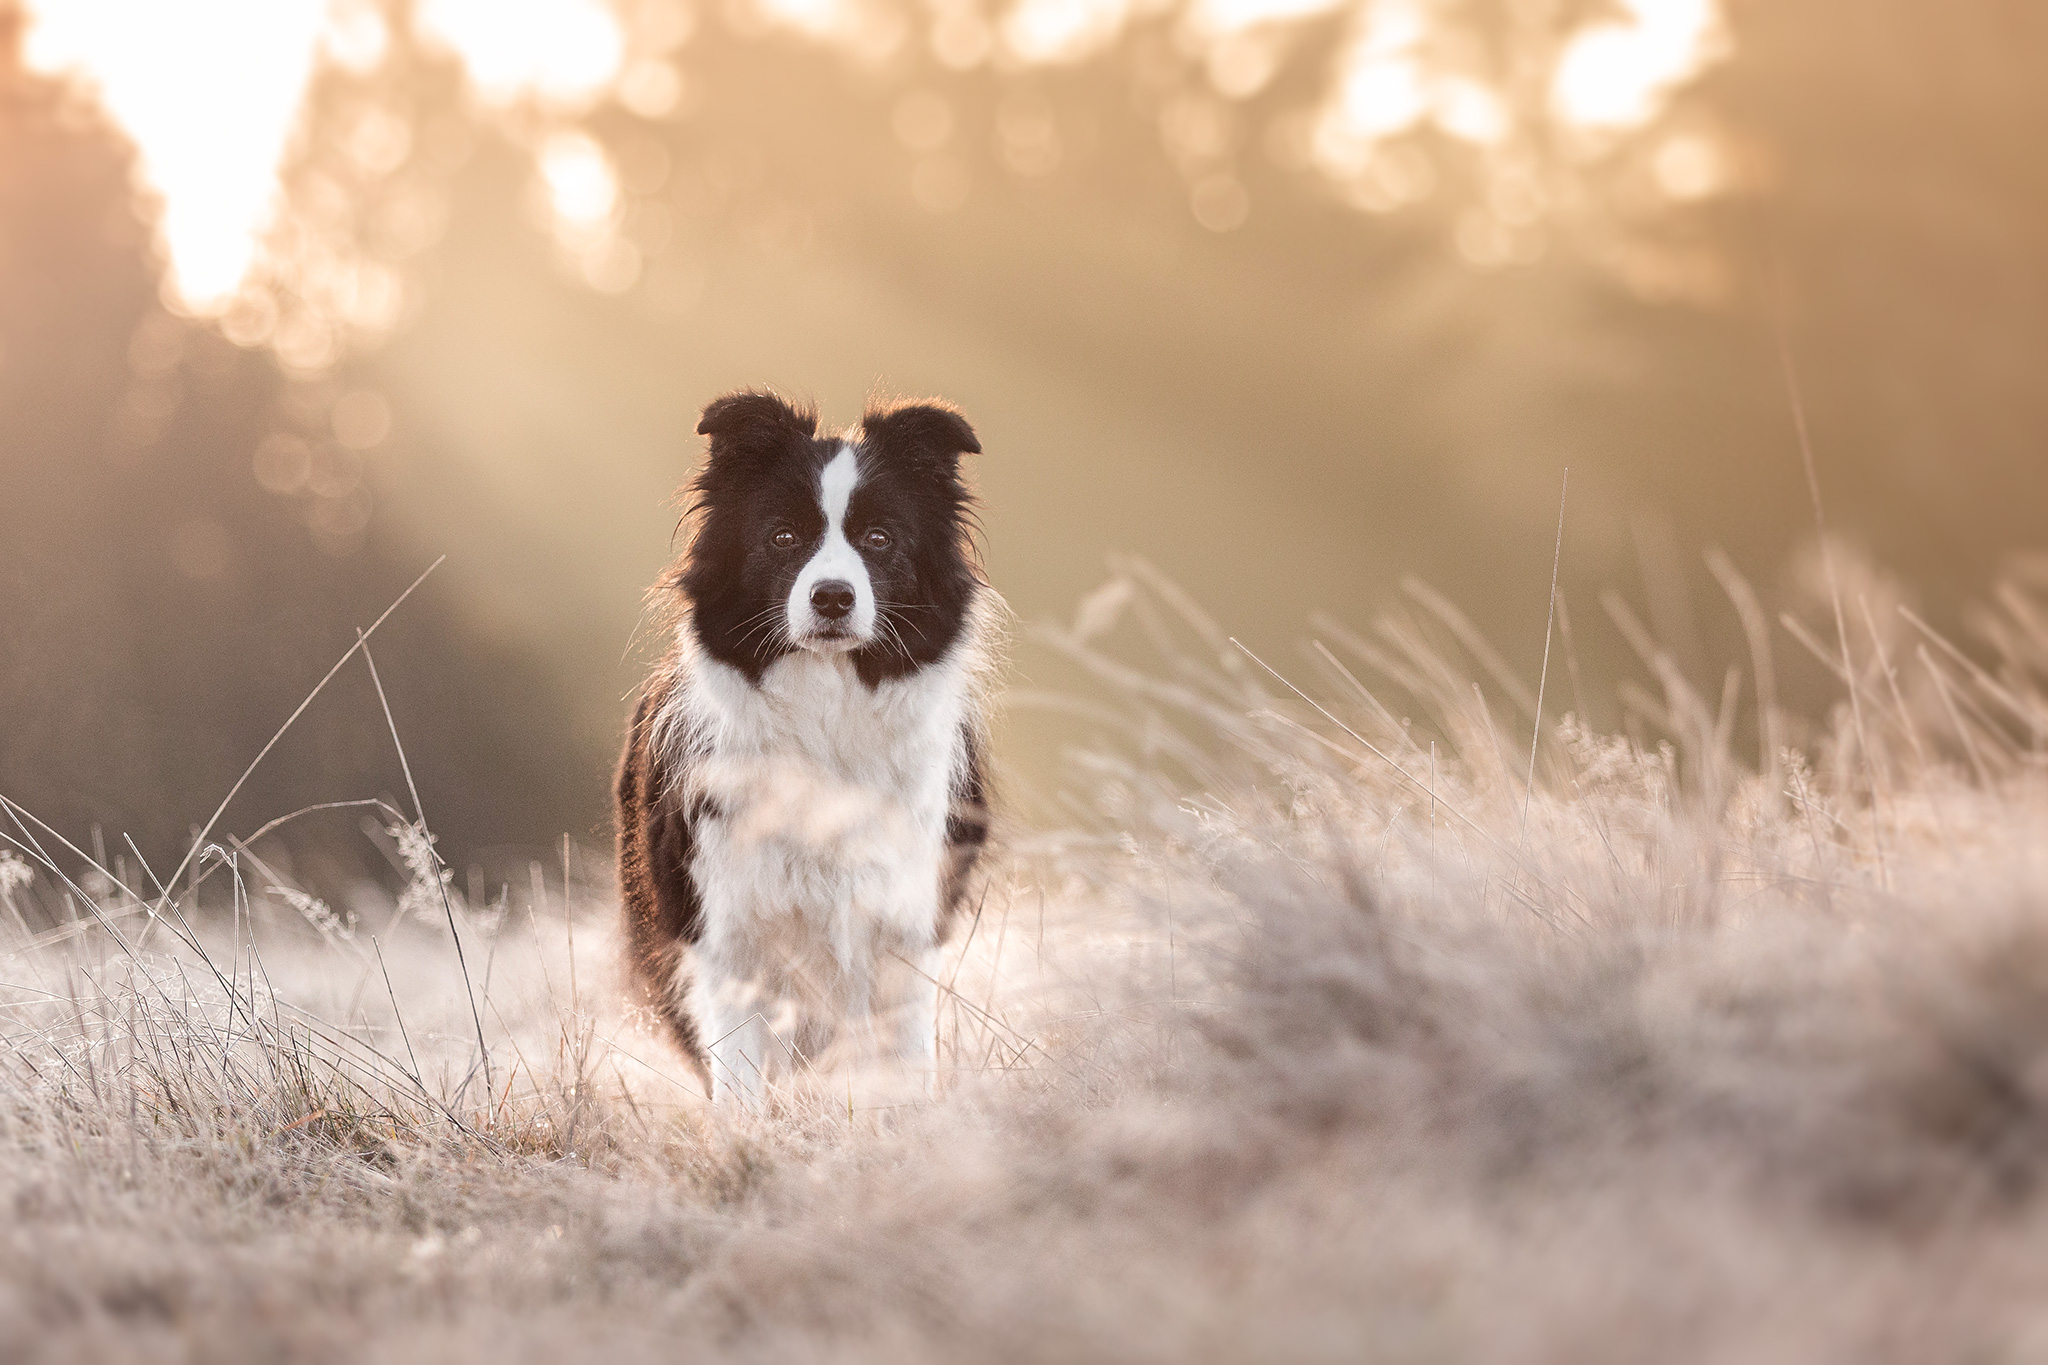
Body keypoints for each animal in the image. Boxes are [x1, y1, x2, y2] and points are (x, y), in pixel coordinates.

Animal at [610, 388, 995, 1105]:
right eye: (783, 537)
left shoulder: (904, 920)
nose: (833, 597)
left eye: (880, 539)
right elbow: (739, 1081)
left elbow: (901, 1062)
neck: (825, 708)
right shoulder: (728, 930)